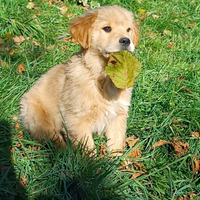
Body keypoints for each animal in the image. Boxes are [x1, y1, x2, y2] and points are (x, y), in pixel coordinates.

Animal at [20, 5, 139, 155]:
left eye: (128, 29)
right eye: (107, 28)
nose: (126, 41)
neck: (104, 77)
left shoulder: (118, 114)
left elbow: (116, 143)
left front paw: (117, 161)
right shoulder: (76, 118)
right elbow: (88, 148)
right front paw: (94, 162)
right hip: (38, 118)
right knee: (53, 137)